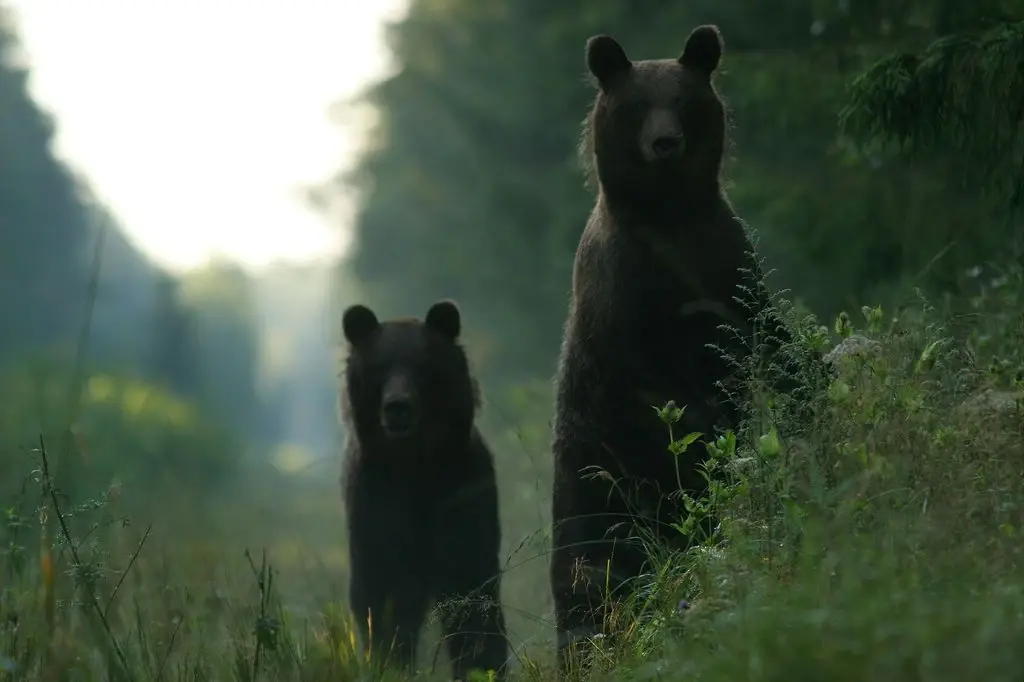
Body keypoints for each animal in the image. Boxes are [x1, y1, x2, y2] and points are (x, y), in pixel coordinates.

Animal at [339, 299, 509, 680]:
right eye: (380, 366)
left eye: (422, 365)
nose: (397, 406)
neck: (415, 464)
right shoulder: (377, 501)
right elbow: (382, 602)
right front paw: (390, 663)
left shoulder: (461, 493)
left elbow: (472, 593)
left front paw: (483, 664)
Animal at [549, 25, 800, 672]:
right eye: (638, 103)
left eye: (683, 99)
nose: (666, 142)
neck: (668, 215)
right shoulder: (625, 294)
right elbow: (659, 392)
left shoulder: (726, 264)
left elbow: (772, 341)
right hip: (589, 494)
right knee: (591, 572)